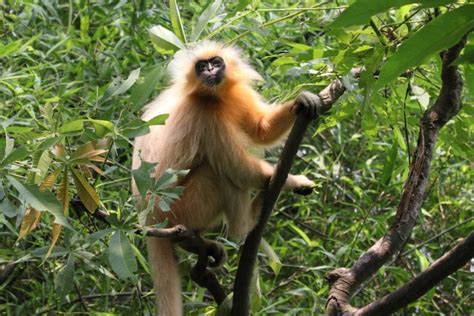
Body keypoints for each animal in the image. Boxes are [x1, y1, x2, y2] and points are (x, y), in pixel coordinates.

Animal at [131, 40, 320, 314]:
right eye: (201, 67)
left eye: (216, 62)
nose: (210, 70)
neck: (213, 94)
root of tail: (150, 217)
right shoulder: (204, 110)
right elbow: (236, 167)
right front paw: (292, 181)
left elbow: (260, 129)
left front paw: (300, 101)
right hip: (183, 206)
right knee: (219, 171)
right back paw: (247, 224)